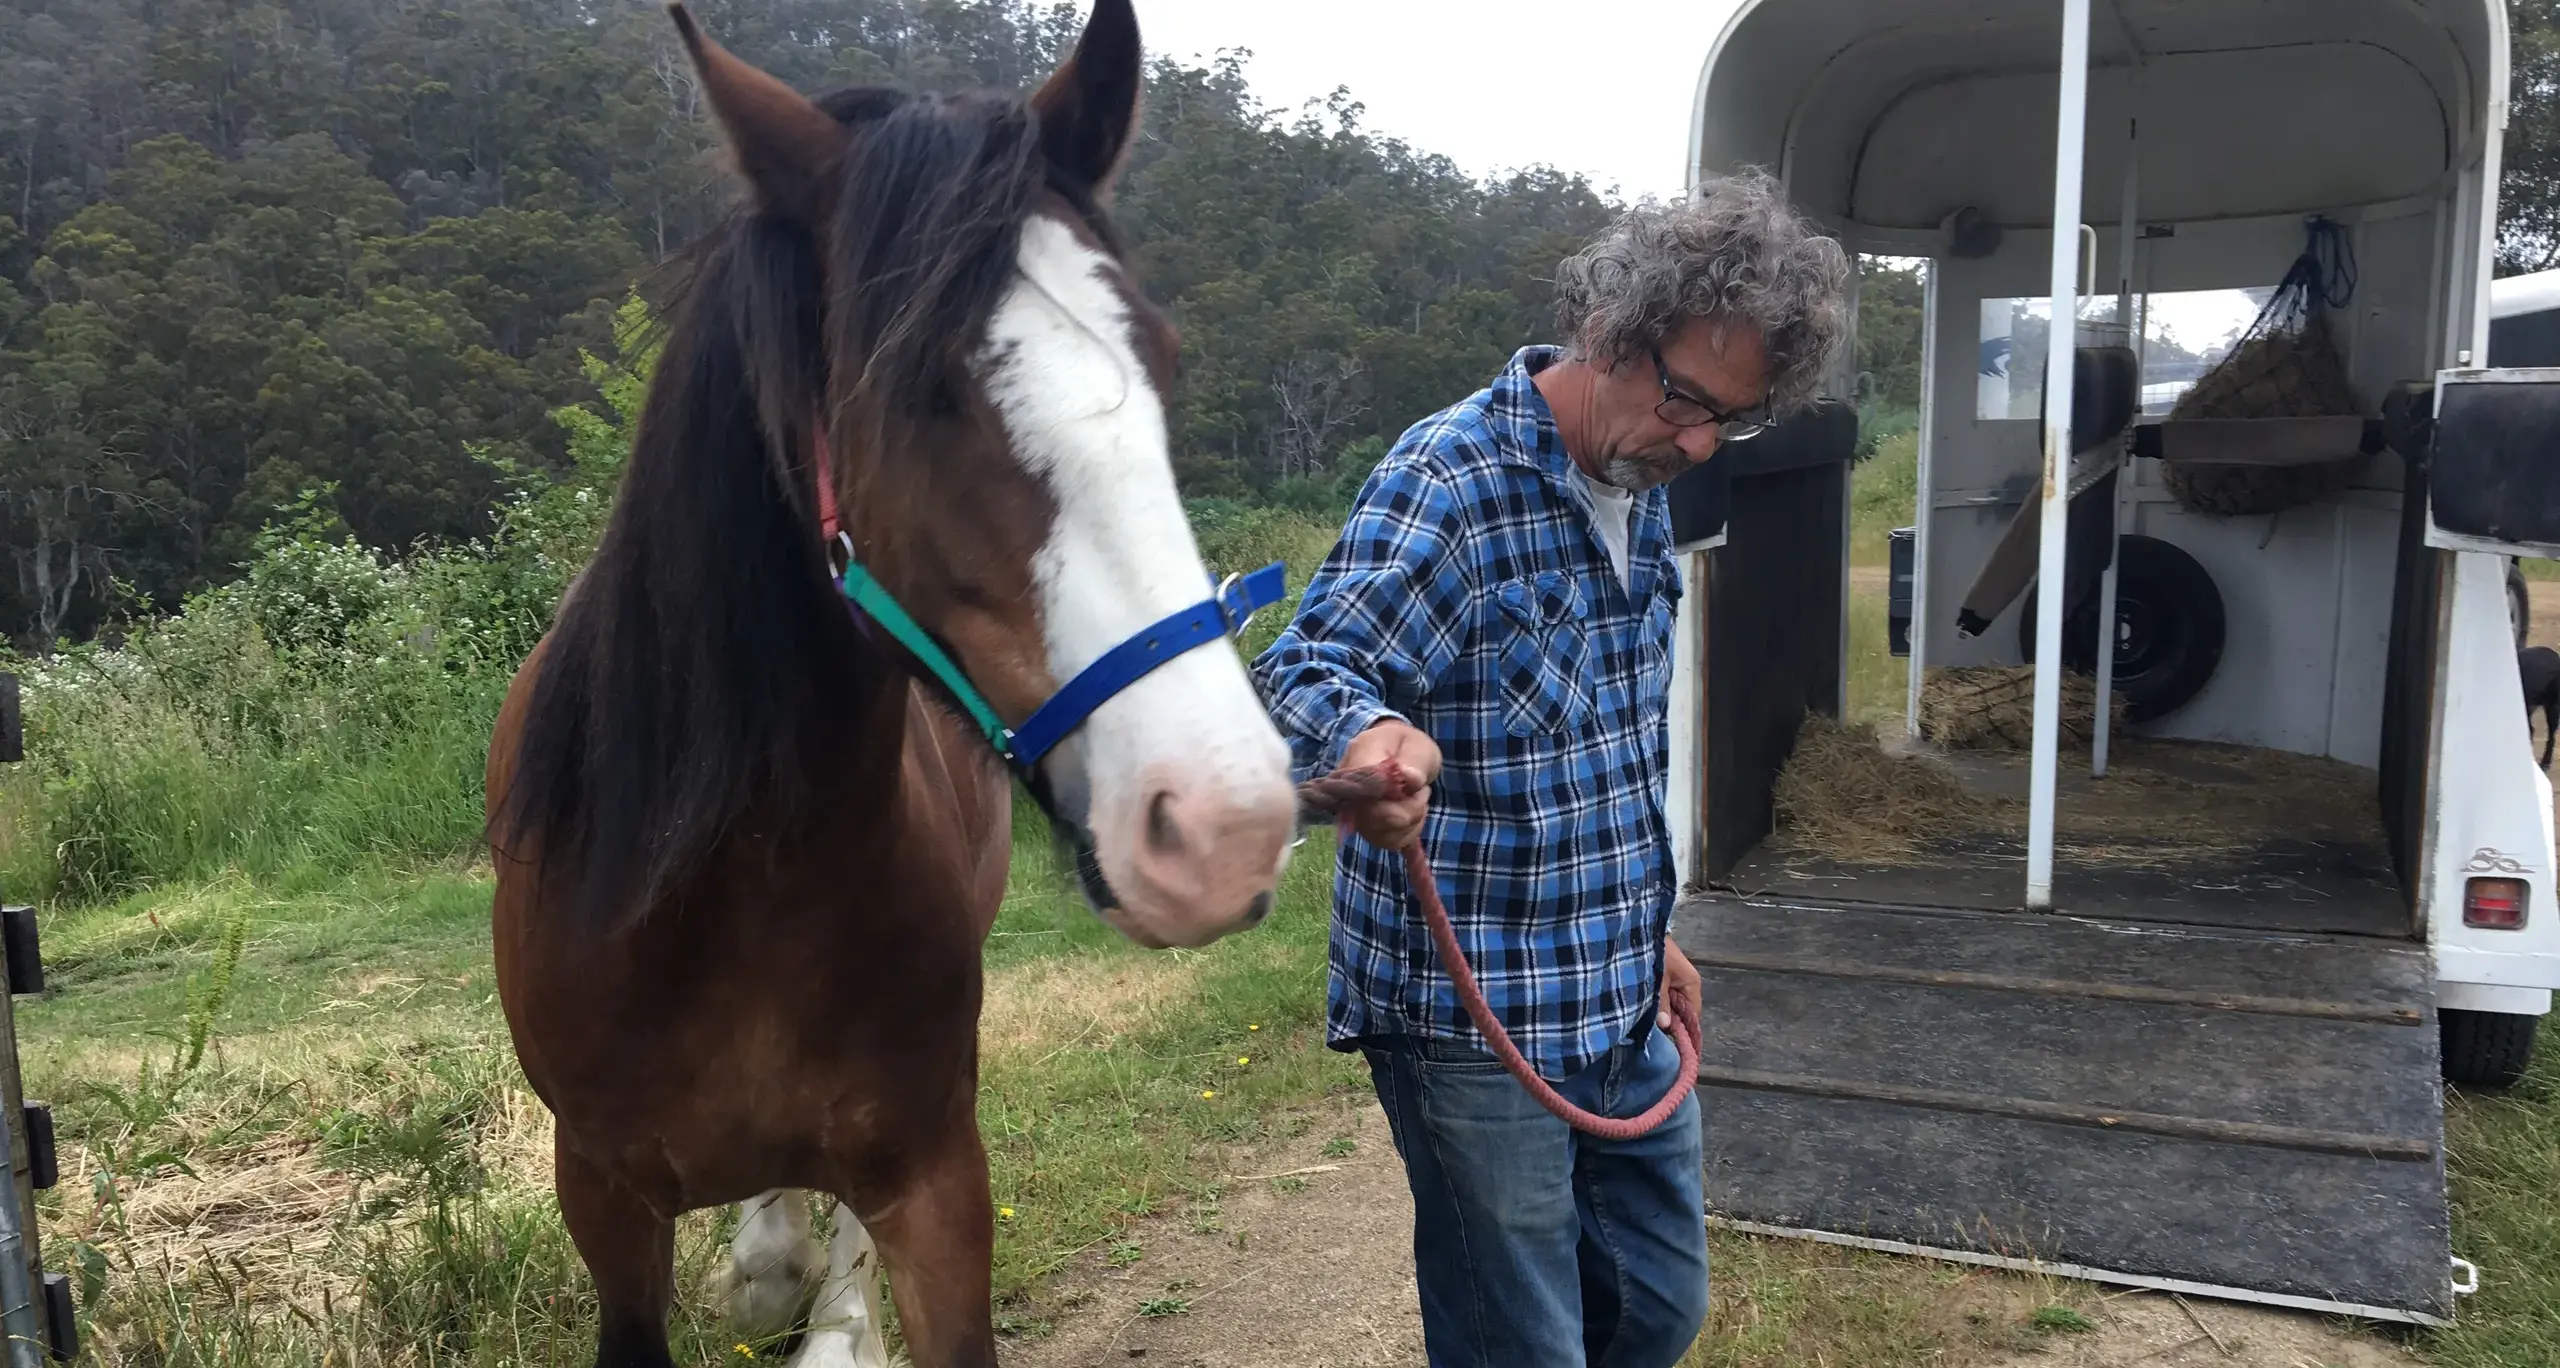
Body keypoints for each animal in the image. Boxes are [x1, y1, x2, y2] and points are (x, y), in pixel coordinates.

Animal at [482, 5, 1300, 1364]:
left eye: (1164, 363)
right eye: (914, 387)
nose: (1224, 826)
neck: (718, 891)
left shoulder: (935, 1181)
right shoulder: (601, 1198)